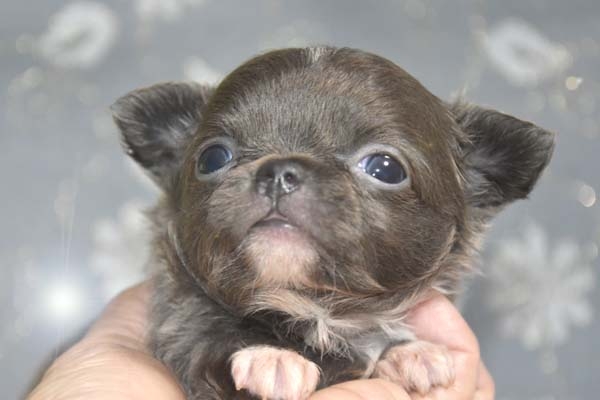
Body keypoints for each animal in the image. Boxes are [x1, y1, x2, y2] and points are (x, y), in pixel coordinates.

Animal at [111, 46, 554, 399]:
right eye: (213, 158)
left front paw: (411, 352)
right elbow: (203, 332)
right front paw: (271, 356)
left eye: (385, 168)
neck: (317, 310)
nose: (278, 172)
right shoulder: (177, 324)